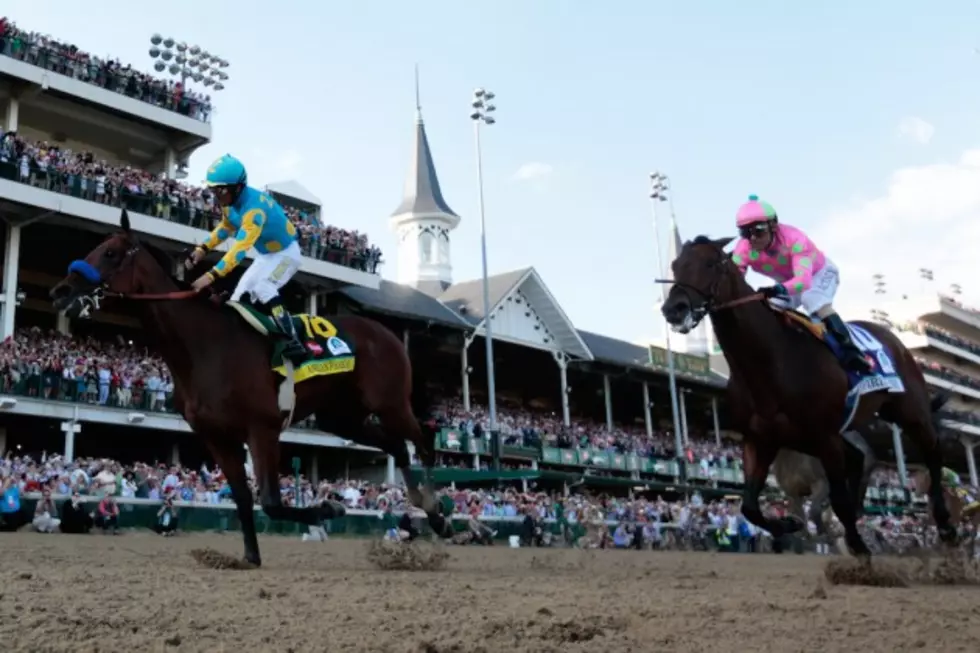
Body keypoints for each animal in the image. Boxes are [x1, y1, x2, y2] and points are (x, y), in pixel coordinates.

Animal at [48, 209, 452, 564]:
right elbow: (242, 498)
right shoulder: (217, 436)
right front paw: (250, 555)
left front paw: (328, 507)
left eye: (110, 253)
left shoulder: (262, 429)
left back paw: (437, 513)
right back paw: (427, 508)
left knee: (423, 444)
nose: (61, 290)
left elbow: (270, 501)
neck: (204, 345)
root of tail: (387, 332)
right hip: (342, 418)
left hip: (391, 402)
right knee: (397, 446)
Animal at [660, 237, 956, 556]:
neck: (772, 361)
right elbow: (750, 506)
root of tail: (893, 339)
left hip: (909, 412)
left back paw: (945, 524)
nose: (674, 308)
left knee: (933, 453)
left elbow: (836, 501)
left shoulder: (824, 438)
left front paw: (857, 546)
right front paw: (788, 526)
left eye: (710, 264)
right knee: (859, 459)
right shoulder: (761, 440)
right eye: (675, 265)